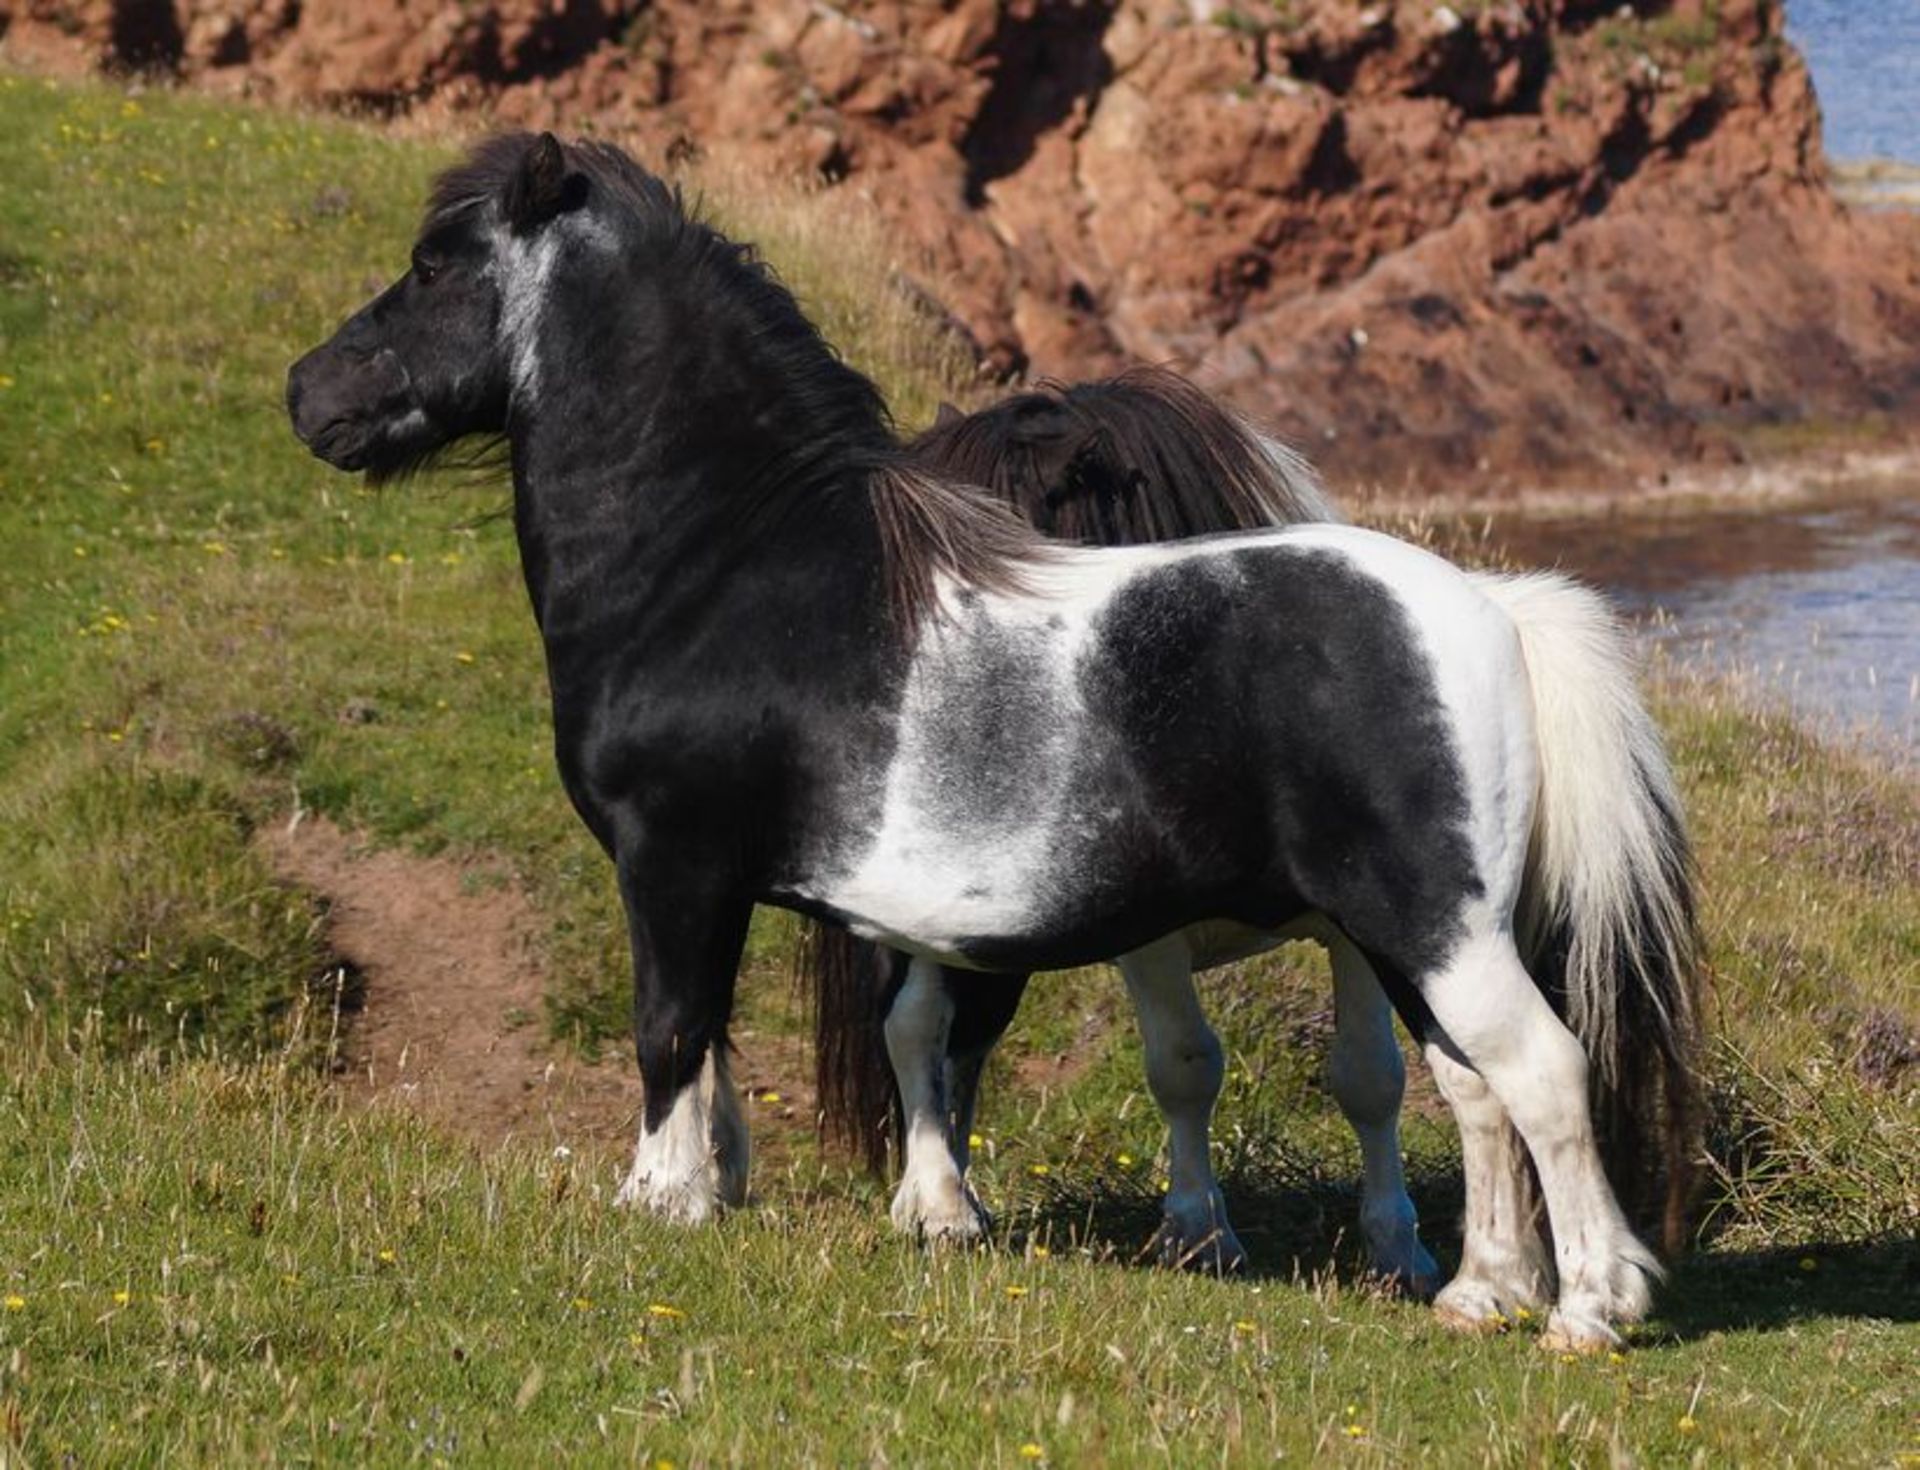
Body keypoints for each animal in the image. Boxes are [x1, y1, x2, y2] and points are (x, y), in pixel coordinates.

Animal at [284, 138, 1697, 1358]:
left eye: (434, 267)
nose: (308, 395)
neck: (731, 567)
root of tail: (1491, 610)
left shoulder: (672, 864)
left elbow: (670, 1029)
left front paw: (662, 1199)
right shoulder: (739, 889)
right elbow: (751, 1039)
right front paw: (738, 1189)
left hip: (1428, 927)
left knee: (1539, 1075)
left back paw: (1589, 1310)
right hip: (1409, 937)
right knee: (1472, 1087)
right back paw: (1481, 1292)